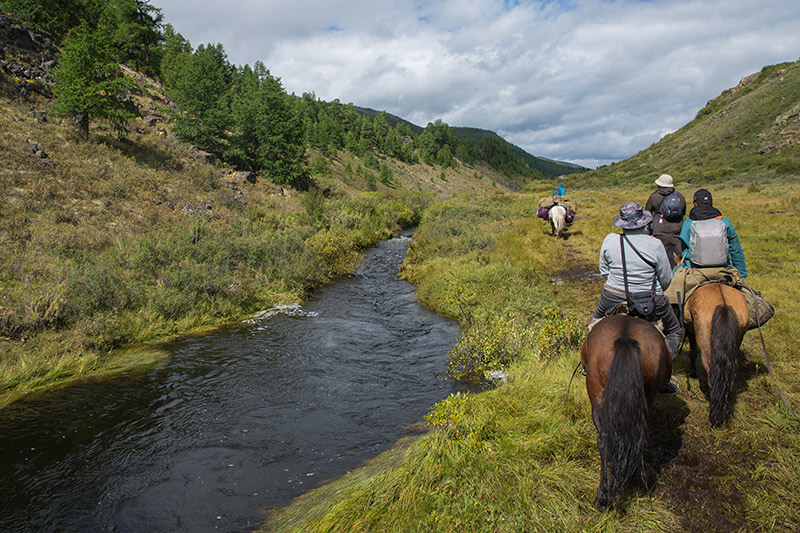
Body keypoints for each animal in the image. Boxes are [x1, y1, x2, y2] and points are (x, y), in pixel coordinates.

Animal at [680, 282, 752, 424]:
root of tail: (723, 304)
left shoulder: (690, 329)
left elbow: (693, 351)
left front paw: (692, 373)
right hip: (737, 341)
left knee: (711, 372)